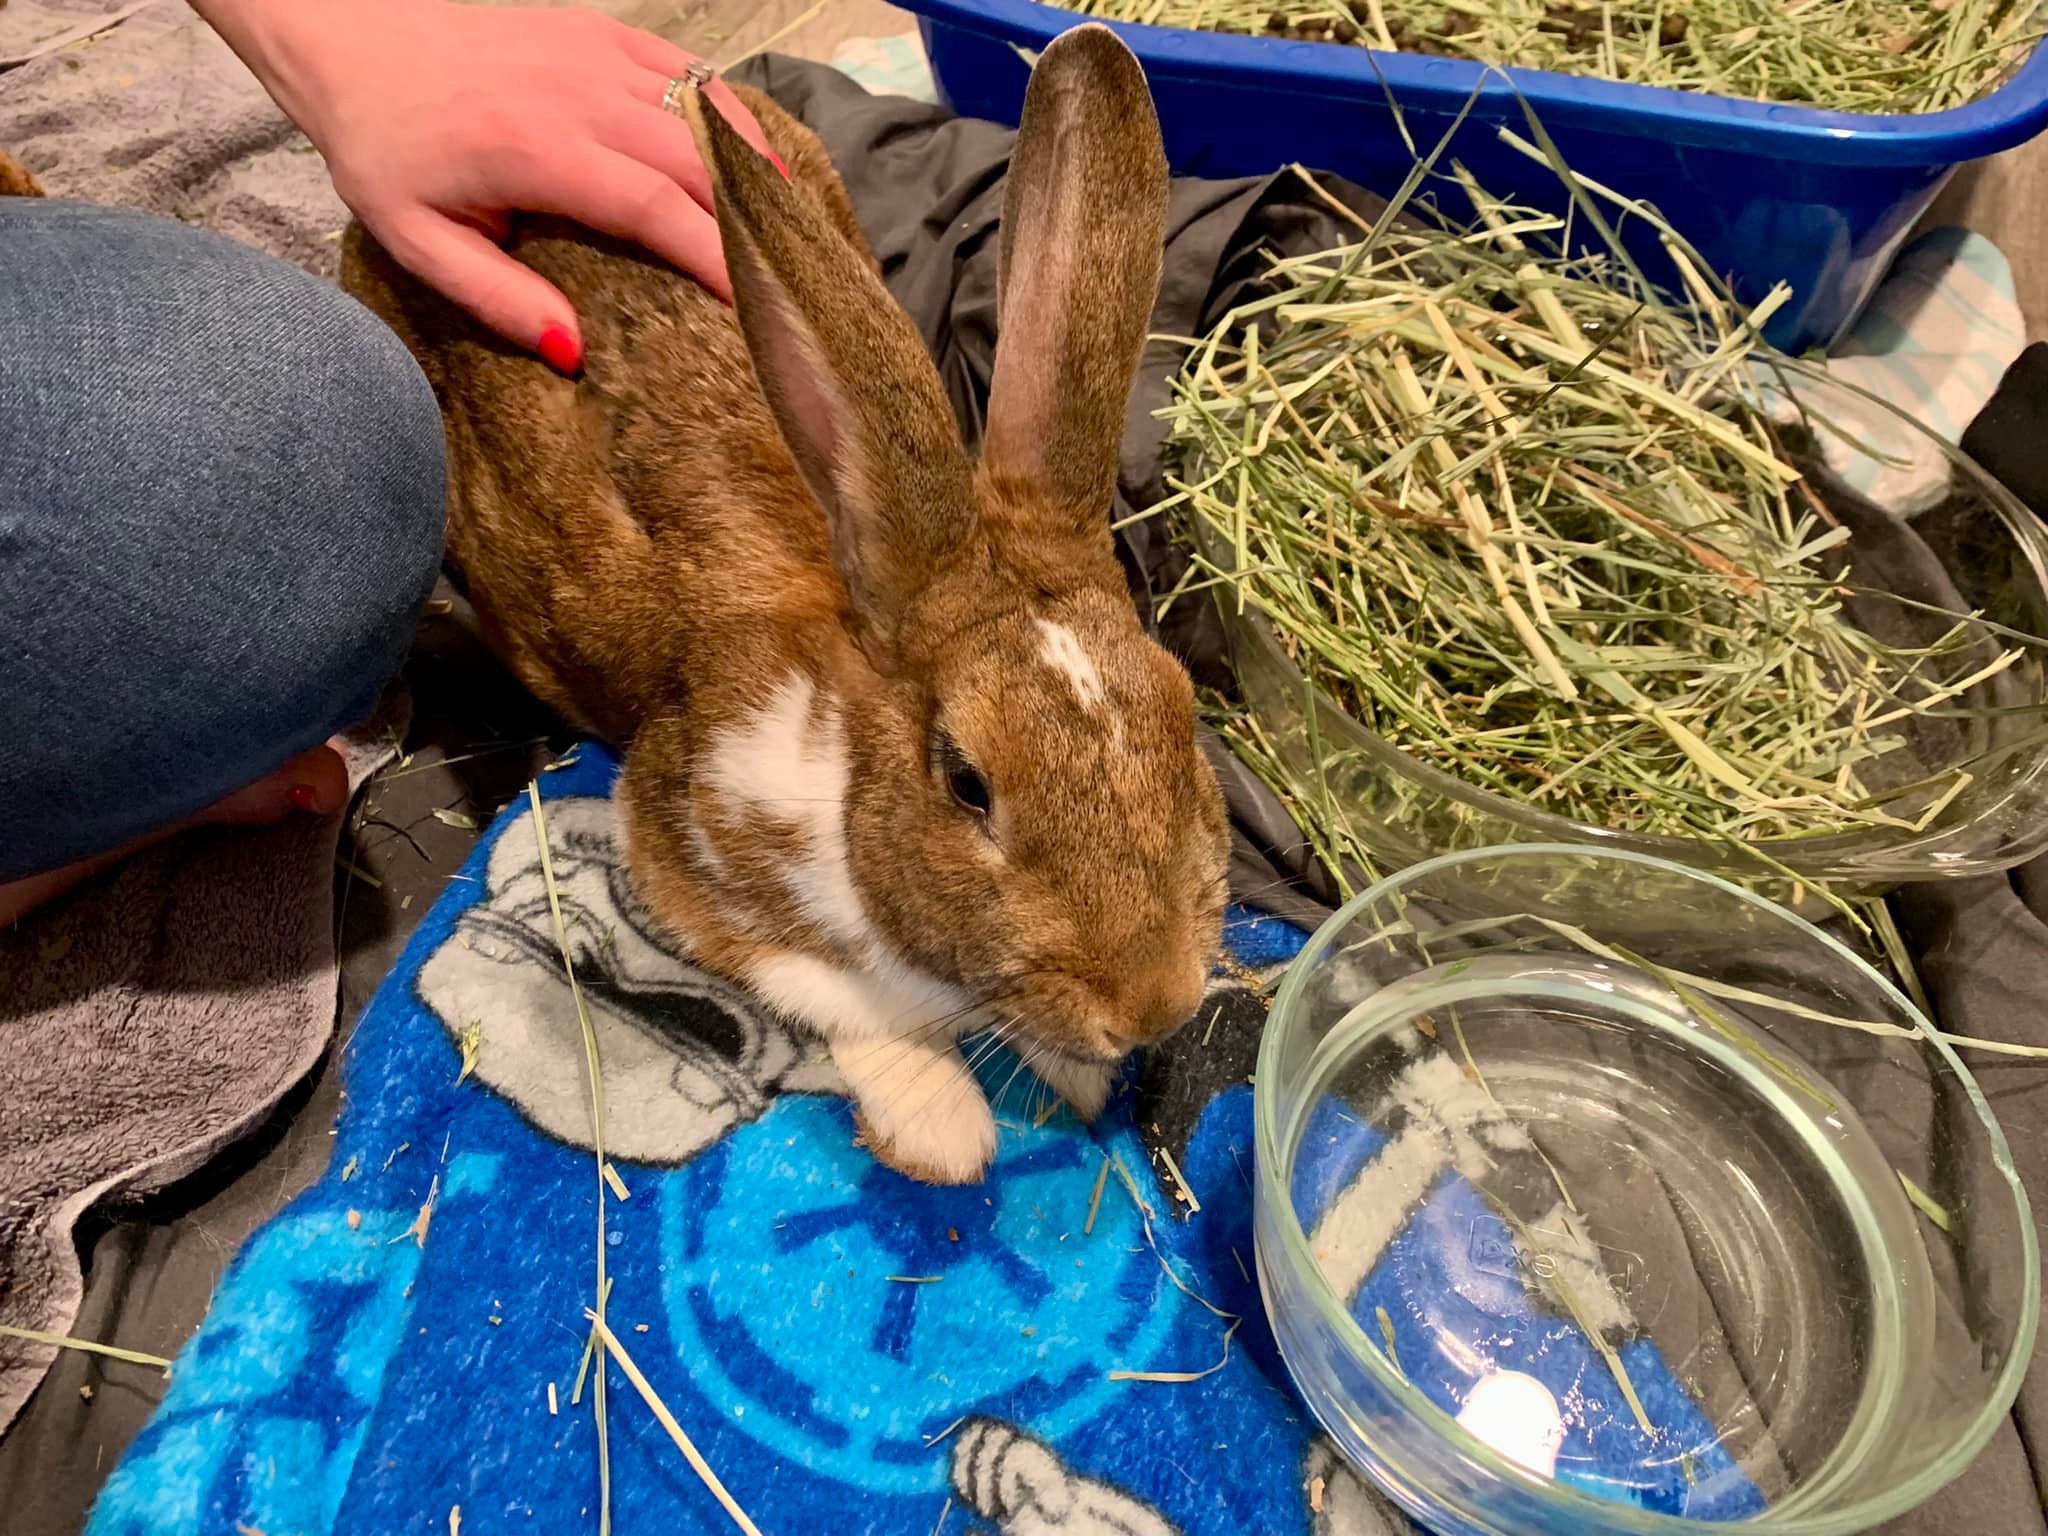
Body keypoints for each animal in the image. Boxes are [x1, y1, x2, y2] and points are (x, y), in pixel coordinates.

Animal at [339, 24, 1230, 1186]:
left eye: (1184, 715)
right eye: (966, 783)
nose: (1153, 1004)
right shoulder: (685, 830)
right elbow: (836, 994)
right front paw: (942, 1125)